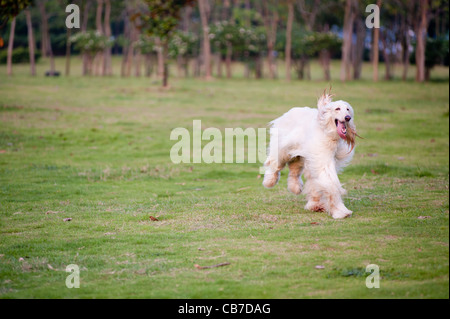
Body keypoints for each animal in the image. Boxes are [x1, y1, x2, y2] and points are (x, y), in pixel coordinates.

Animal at [264, 90, 358, 220]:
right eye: (337, 108)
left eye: (348, 109)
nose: (347, 118)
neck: (327, 132)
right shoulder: (322, 159)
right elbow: (331, 183)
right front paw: (340, 211)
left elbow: (316, 182)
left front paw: (318, 205)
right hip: (284, 148)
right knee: (275, 163)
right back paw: (269, 181)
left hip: (299, 155)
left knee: (294, 170)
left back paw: (296, 188)